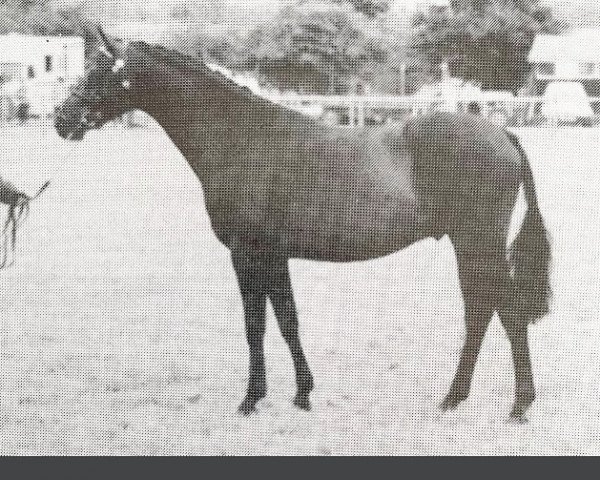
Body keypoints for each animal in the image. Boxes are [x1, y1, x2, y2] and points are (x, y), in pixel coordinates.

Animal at [54, 29, 552, 420]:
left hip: (478, 243)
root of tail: (501, 133)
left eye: (101, 71)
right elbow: (287, 320)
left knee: (505, 310)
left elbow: (256, 325)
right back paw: (455, 399)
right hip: (470, 245)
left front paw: (251, 399)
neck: (241, 139)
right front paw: (301, 394)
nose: (62, 120)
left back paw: (518, 405)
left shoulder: (248, 253)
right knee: (482, 310)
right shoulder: (274, 255)